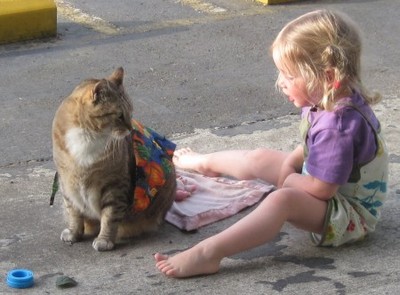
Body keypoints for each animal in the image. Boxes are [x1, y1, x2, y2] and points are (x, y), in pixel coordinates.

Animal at [51, 67, 177, 252]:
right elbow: (74, 212)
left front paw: (104, 240)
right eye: (119, 116)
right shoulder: (67, 184)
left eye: (130, 111)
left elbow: (109, 217)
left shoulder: (115, 186)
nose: (130, 128)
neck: (88, 136)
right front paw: (74, 233)